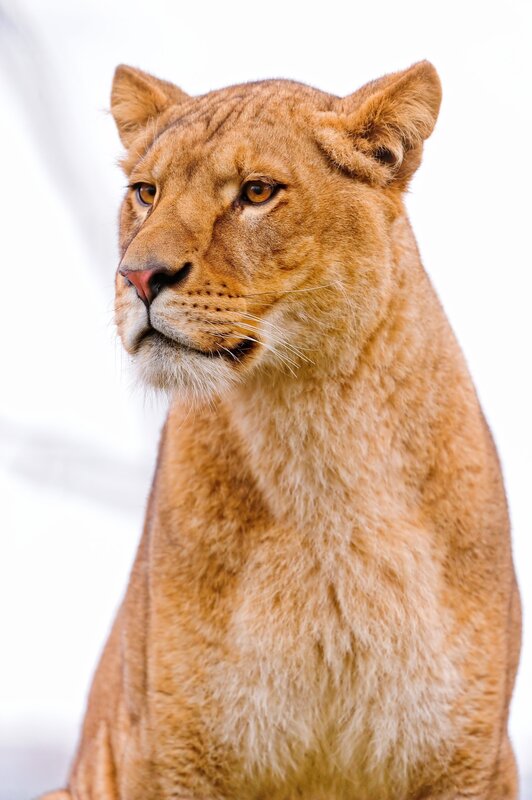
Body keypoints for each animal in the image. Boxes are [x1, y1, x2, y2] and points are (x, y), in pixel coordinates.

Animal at [41, 61, 521, 799]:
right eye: (146, 193)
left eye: (257, 192)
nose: (139, 276)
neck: (313, 436)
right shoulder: (167, 752)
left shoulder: (469, 760)